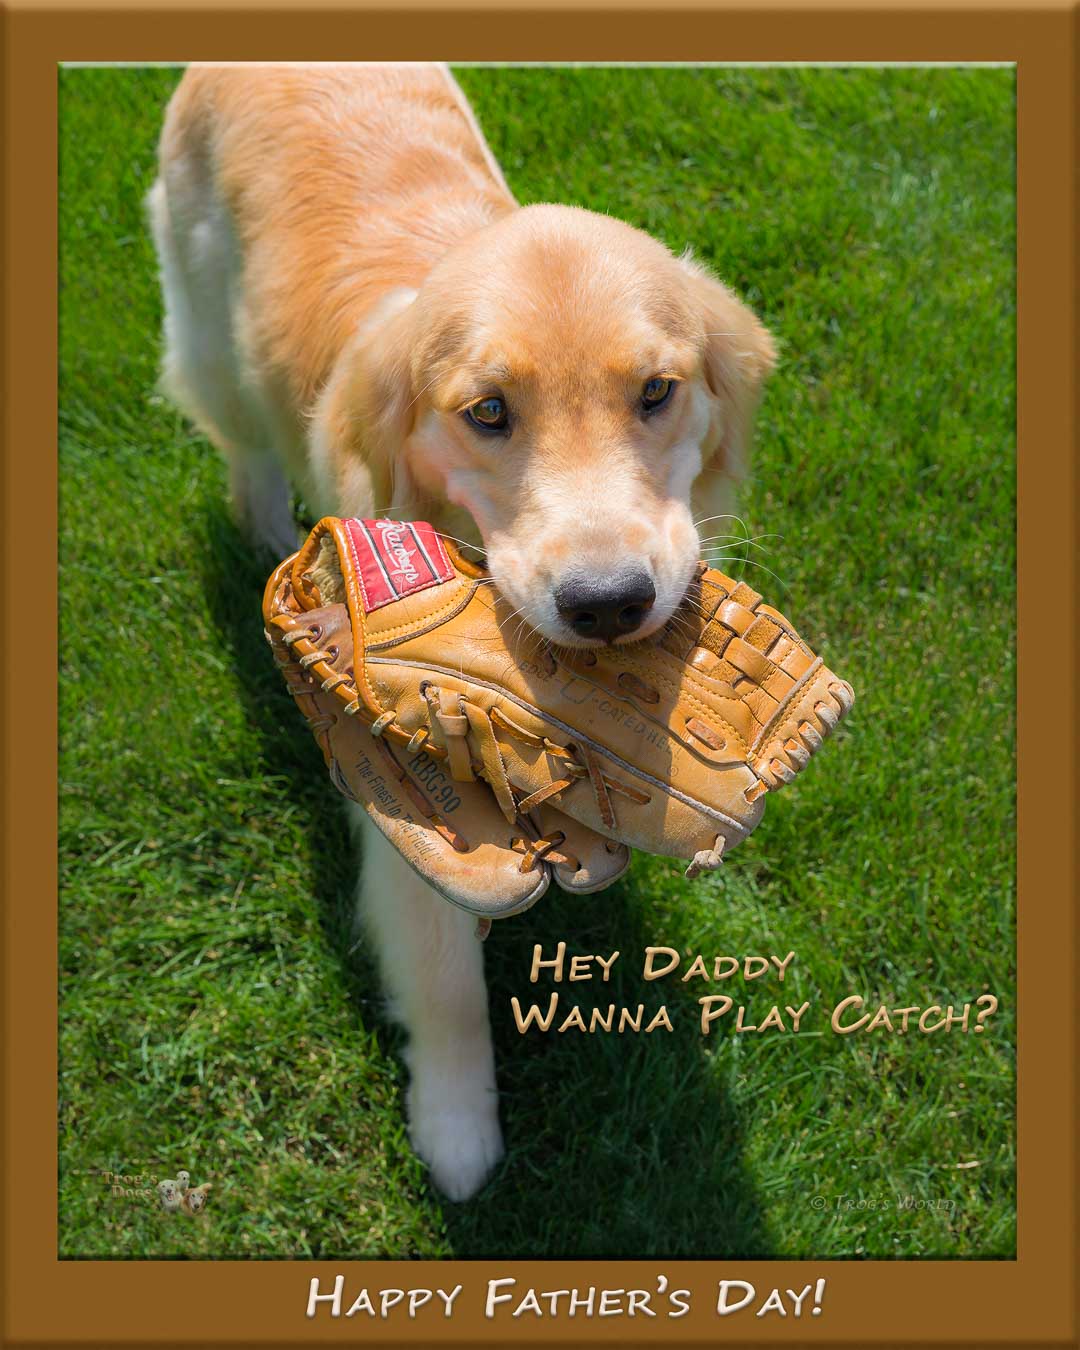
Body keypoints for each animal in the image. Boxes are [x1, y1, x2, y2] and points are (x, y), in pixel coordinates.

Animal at [149, 63, 777, 1204]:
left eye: (656, 392)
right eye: (488, 412)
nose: (610, 603)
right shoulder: (404, 800)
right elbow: (444, 980)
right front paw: (455, 1129)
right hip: (212, 331)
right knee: (240, 436)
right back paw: (262, 529)